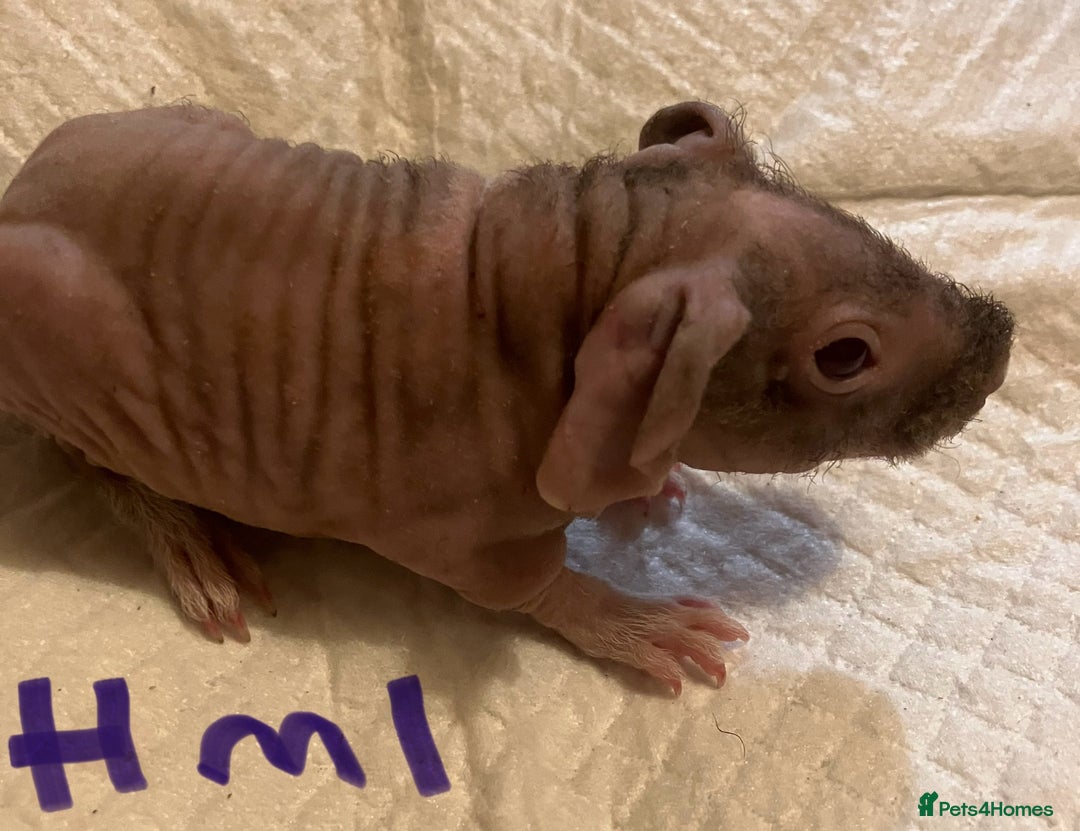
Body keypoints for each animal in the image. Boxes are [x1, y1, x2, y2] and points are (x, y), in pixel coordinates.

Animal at [0, 102, 1013, 694]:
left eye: (860, 225)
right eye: (845, 355)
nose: (1000, 336)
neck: (552, 269)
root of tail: (19, 195)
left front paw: (646, 472)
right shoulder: (455, 510)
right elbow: (517, 580)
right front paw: (627, 619)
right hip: (57, 341)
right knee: (91, 456)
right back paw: (187, 542)